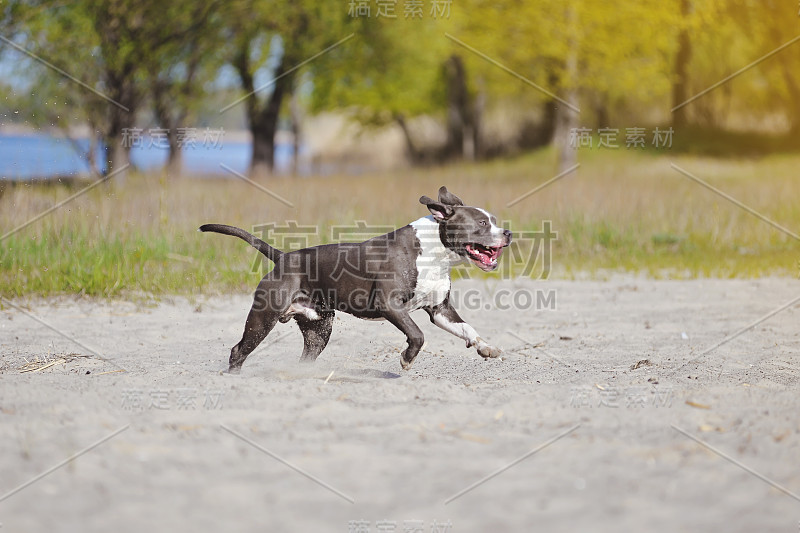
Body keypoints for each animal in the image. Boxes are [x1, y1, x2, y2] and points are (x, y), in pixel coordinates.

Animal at [200, 185, 512, 372]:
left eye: (494, 221)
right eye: (482, 223)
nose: (507, 233)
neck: (435, 250)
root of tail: (283, 257)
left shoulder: (440, 310)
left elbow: (467, 329)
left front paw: (485, 347)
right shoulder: (391, 305)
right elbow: (417, 334)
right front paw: (406, 359)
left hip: (319, 328)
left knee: (306, 356)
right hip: (263, 319)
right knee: (238, 350)